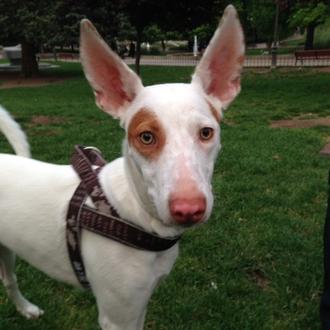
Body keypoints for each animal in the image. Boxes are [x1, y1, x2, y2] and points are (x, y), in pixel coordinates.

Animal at [0, 5, 242, 330]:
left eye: (206, 132)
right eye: (146, 136)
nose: (188, 209)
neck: (129, 213)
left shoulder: (138, 306)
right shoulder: (117, 316)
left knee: (9, 279)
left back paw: (25, 308)